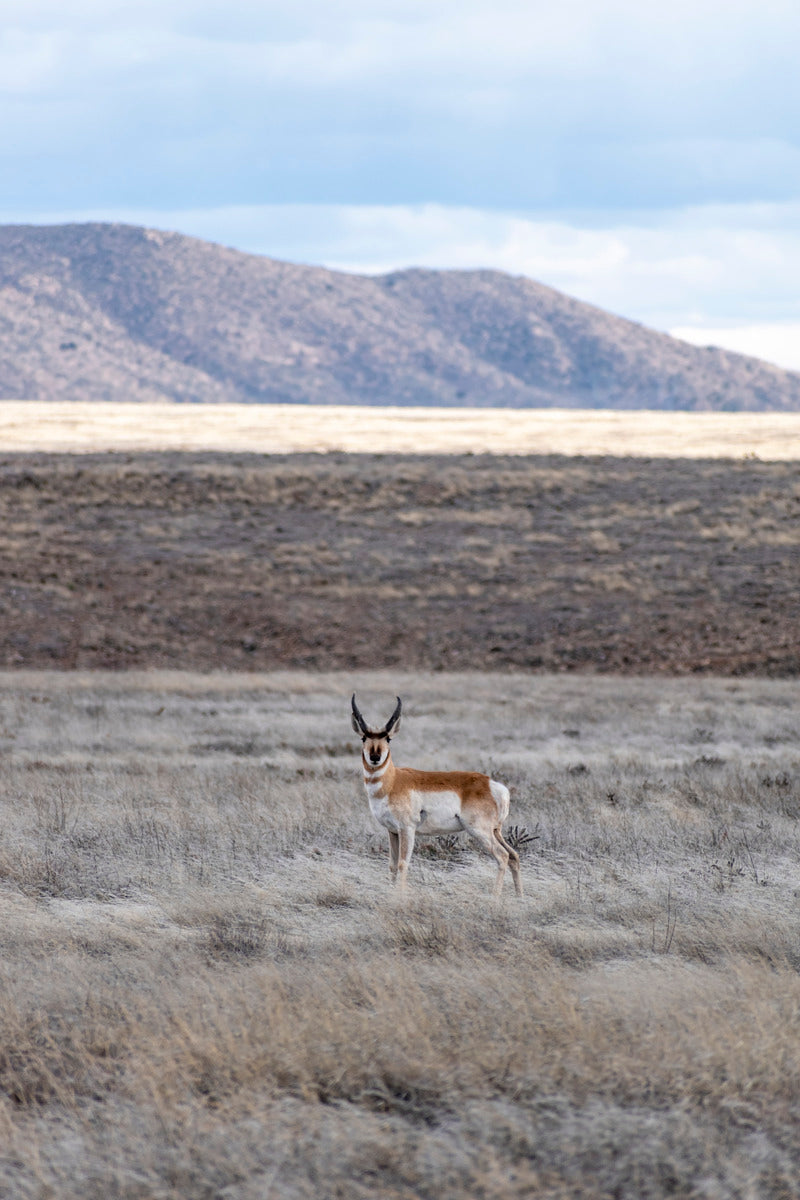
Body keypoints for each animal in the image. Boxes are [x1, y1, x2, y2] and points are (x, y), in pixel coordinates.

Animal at [352, 696, 522, 892]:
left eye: (388, 738)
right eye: (364, 737)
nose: (375, 757)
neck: (393, 780)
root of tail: (491, 784)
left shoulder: (407, 829)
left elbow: (403, 863)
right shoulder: (392, 831)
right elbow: (392, 865)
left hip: (480, 831)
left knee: (502, 856)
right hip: (496, 831)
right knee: (514, 855)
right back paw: (519, 896)